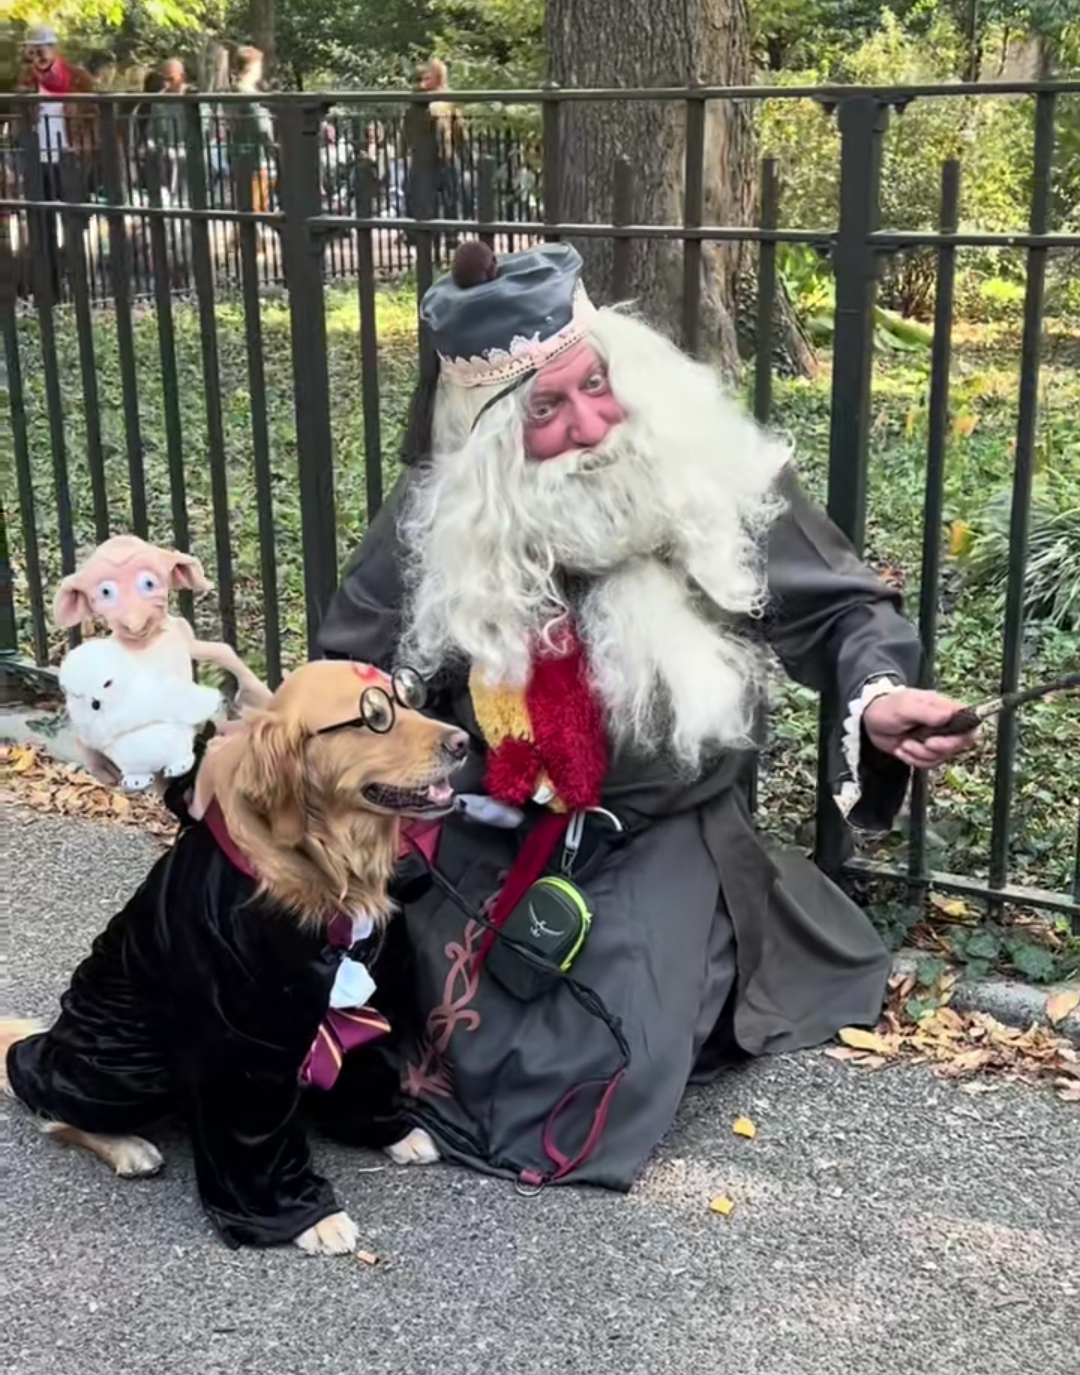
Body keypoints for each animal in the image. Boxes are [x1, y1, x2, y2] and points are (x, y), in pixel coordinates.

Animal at [2, 660, 467, 1255]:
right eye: (374, 717)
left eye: (407, 697)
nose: (463, 742)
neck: (324, 865)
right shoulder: (241, 1041)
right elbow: (252, 1143)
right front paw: (308, 1218)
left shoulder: (365, 994)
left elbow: (366, 1064)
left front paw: (391, 1130)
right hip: (125, 1066)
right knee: (43, 1099)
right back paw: (127, 1145)